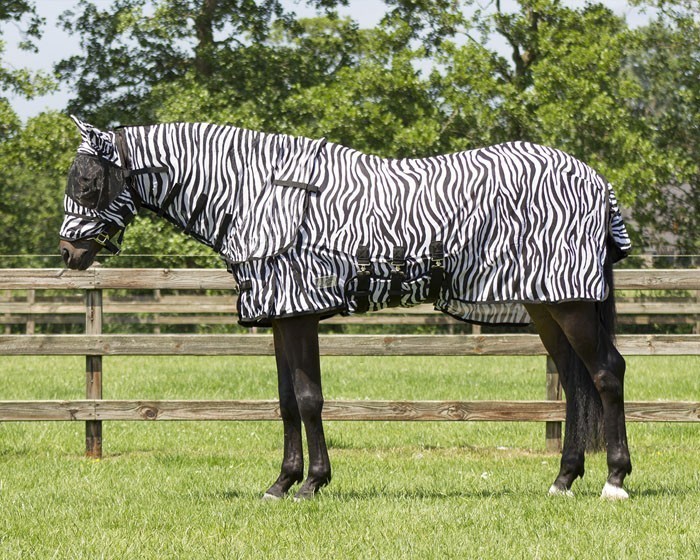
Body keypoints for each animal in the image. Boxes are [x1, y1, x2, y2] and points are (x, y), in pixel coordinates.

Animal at [60, 116, 633, 500]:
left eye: (87, 183)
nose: (69, 254)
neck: (257, 192)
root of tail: (596, 181)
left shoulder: (298, 315)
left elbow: (309, 398)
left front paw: (311, 484)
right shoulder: (280, 317)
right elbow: (286, 401)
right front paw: (281, 483)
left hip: (571, 306)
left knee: (606, 373)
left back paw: (615, 480)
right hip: (546, 305)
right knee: (575, 383)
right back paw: (563, 480)